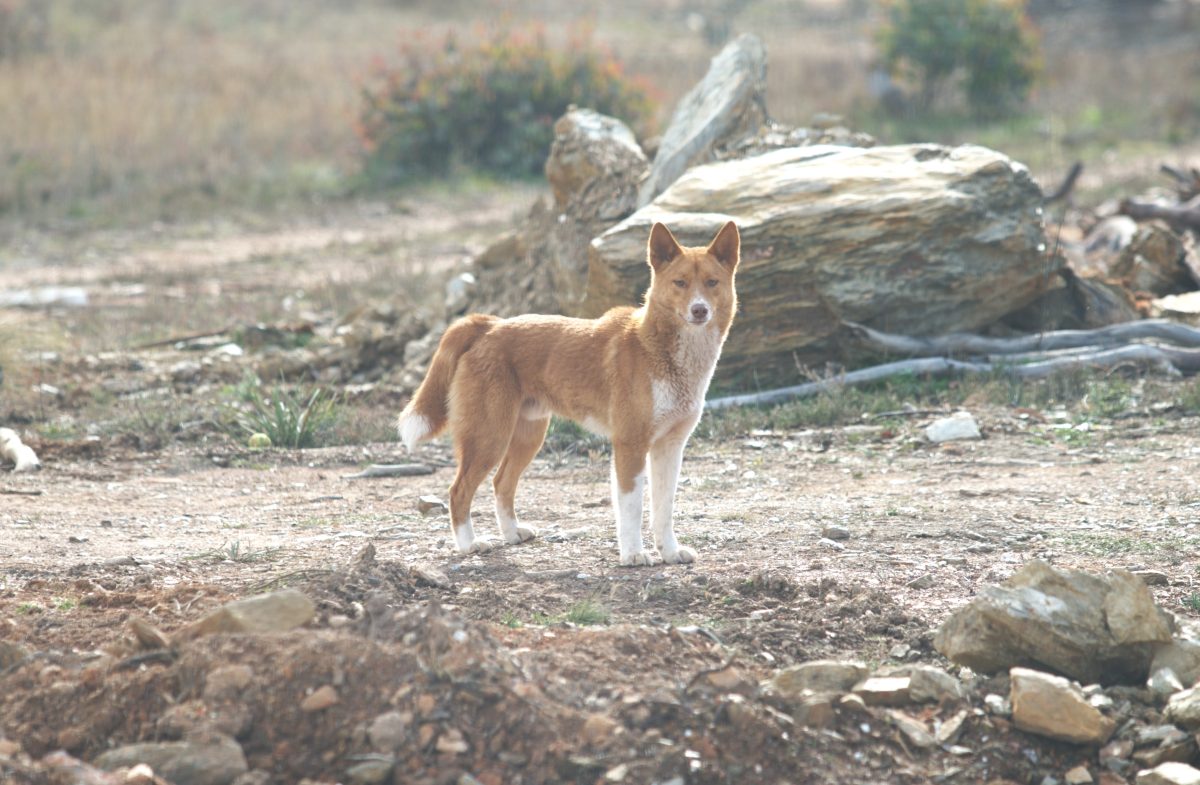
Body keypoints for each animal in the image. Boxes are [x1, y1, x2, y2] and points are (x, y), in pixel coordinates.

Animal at [398, 220, 734, 566]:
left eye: (712, 282)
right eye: (680, 283)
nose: (699, 310)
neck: (660, 350)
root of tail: (488, 325)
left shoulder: (670, 447)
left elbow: (663, 509)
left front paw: (669, 551)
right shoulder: (630, 445)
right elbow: (631, 509)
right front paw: (633, 554)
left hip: (528, 437)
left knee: (501, 483)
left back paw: (512, 533)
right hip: (489, 438)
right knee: (459, 491)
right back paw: (469, 545)